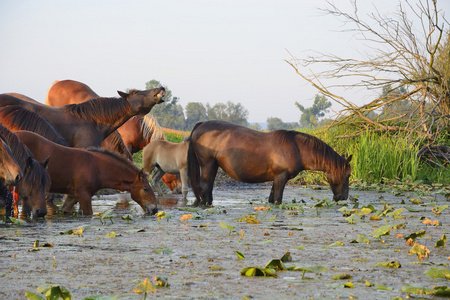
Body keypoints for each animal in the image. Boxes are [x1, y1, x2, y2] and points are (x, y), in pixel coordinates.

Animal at [188, 120, 354, 206]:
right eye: (347, 175)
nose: (343, 197)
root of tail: (202, 124)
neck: (297, 148)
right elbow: (277, 200)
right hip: (207, 165)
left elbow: (271, 199)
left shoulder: (276, 179)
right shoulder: (281, 177)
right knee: (205, 188)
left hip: (213, 166)